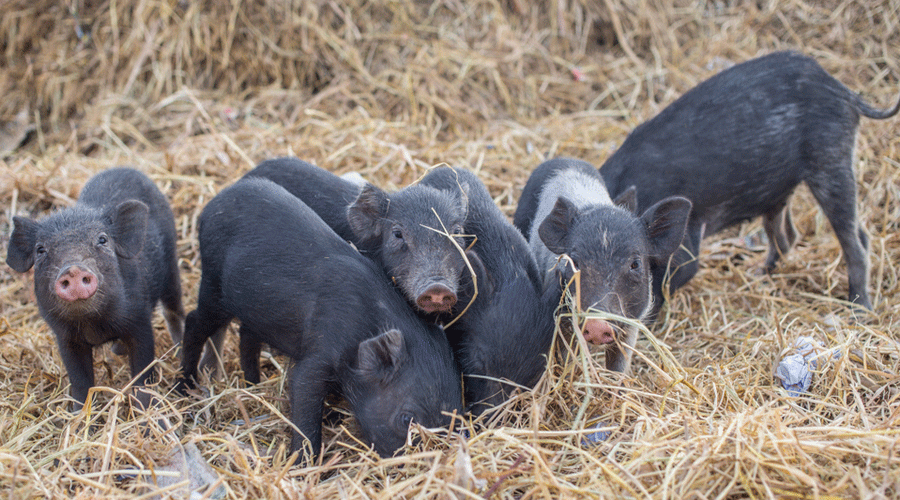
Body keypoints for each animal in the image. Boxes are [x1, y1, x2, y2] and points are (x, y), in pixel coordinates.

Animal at [4, 168, 185, 410]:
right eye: (40, 250)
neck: (93, 325)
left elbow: (143, 373)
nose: (73, 269)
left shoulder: (139, 320)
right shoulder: (65, 337)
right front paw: (77, 414)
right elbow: (80, 381)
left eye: (102, 239)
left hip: (172, 266)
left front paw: (145, 411)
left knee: (173, 310)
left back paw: (179, 350)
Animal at [180, 179, 464, 460]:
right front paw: (302, 463)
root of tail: (212, 205)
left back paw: (253, 383)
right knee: (194, 322)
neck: (365, 323)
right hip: (213, 285)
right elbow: (303, 392)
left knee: (246, 334)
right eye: (406, 419)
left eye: (453, 420)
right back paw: (184, 387)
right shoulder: (319, 352)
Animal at [596, 49, 900, 308]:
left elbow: (664, 286)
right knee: (791, 236)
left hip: (831, 160)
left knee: (853, 241)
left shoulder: (684, 248)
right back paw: (758, 274)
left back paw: (859, 308)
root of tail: (842, 90)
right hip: (780, 190)